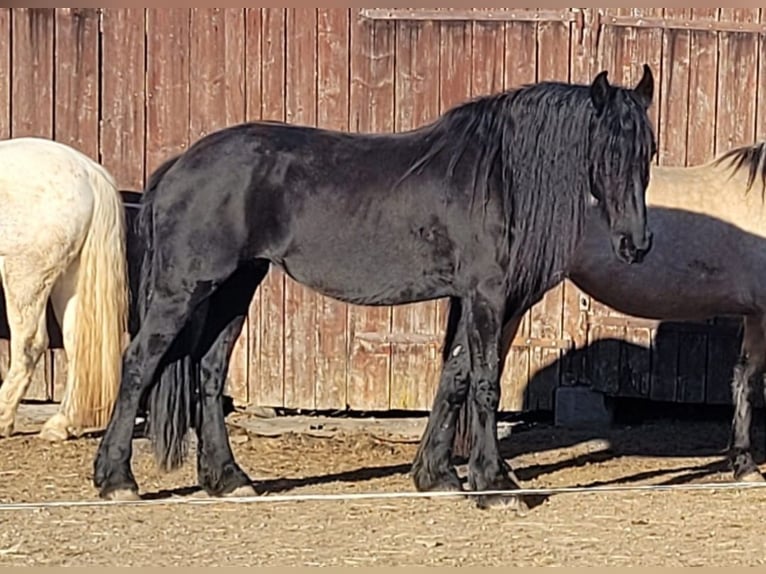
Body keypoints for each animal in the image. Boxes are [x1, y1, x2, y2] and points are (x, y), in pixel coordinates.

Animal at [0, 137, 129, 441]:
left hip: (25, 275)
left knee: (29, 344)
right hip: (70, 277)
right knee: (75, 342)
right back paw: (61, 424)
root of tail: (90, 172)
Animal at [93, 65, 657, 510]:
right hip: (185, 288)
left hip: (236, 285)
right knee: (139, 362)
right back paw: (117, 478)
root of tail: (179, 165)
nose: (636, 243)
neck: (498, 180)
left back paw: (229, 479)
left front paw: (438, 476)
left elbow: (454, 376)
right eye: (607, 152)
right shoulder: (487, 295)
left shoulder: (479, 299)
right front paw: (494, 485)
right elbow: (485, 382)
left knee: (209, 371)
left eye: (649, 151)